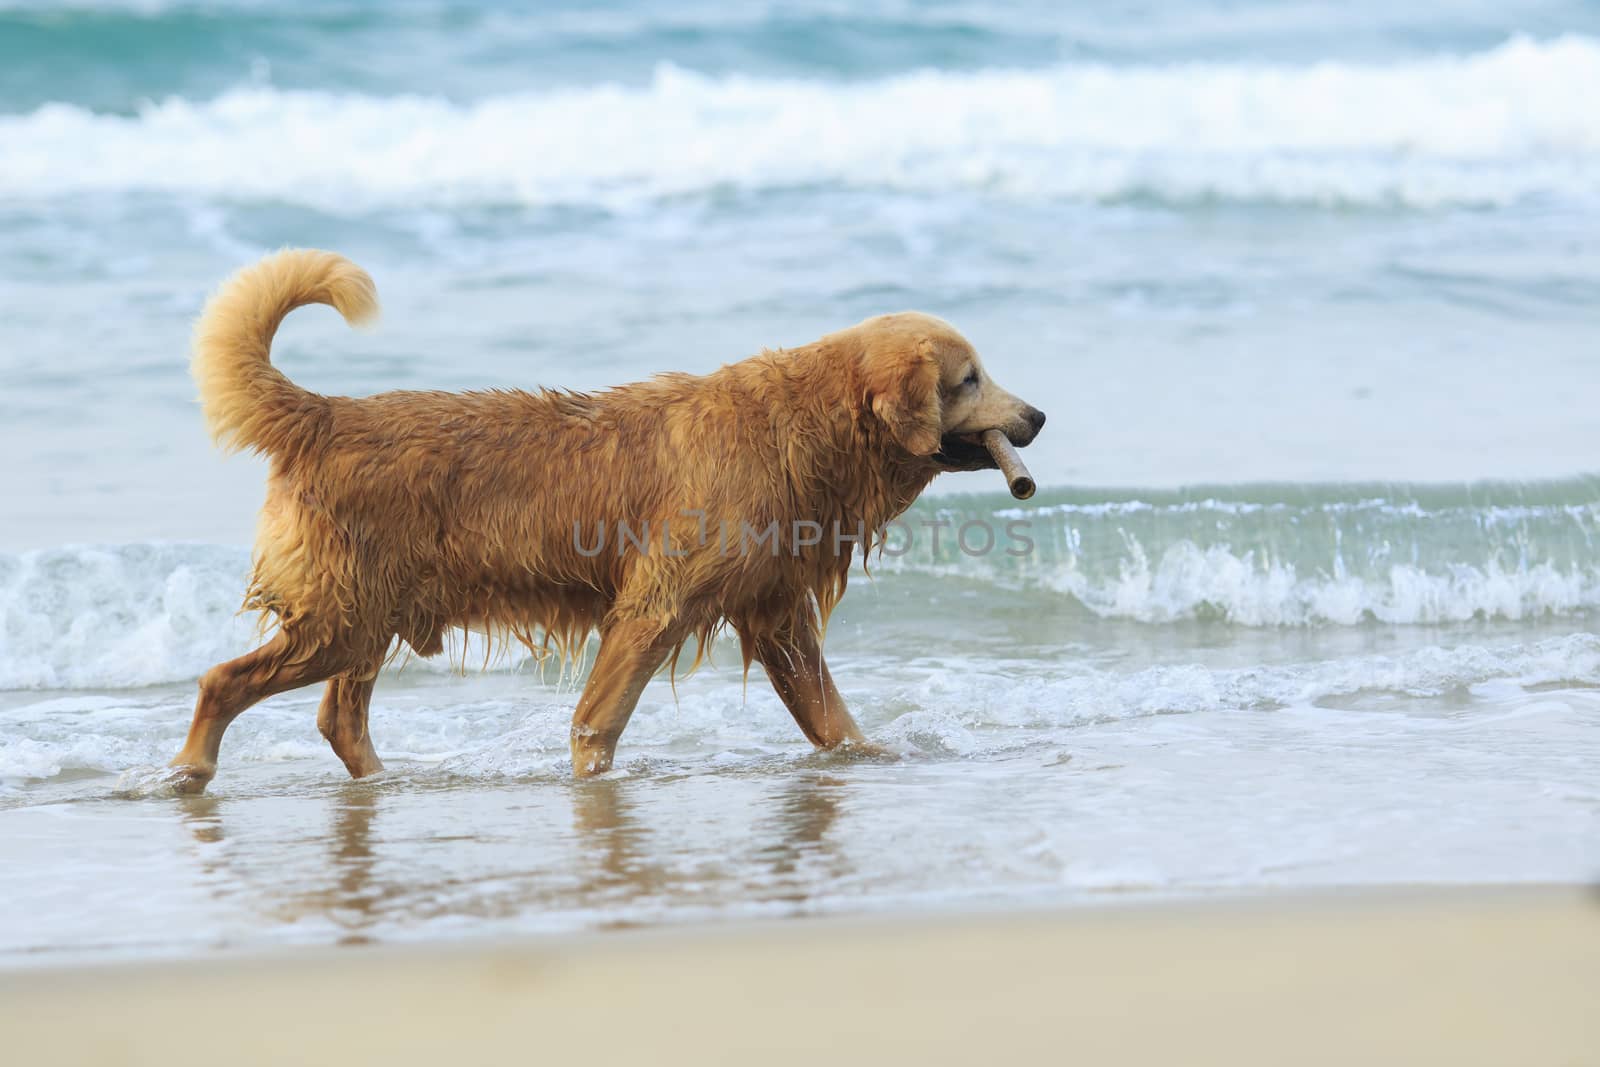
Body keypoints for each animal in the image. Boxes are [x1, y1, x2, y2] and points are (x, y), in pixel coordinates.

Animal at [168, 246, 1043, 790]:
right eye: (970, 377)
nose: (1036, 415)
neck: (801, 428)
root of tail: (325, 413)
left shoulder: (775, 612)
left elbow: (832, 716)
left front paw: (873, 756)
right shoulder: (655, 605)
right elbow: (600, 719)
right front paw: (591, 778)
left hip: (369, 613)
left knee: (338, 715)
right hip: (341, 616)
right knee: (224, 680)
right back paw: (190, 768)